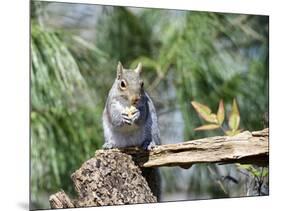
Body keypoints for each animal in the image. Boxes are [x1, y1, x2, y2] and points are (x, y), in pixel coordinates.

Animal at [101, 61, 161, 200]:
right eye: (122, 84)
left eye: (142, 84)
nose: (135, 99)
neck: (127, 104)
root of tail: (130, 143)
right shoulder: (111, 103)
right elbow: (114, 118)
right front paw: (122, 118)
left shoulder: (145, 104)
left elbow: (142, 114)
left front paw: (137, 115)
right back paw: (109, 145)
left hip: (152, 128)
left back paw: (149, 143)